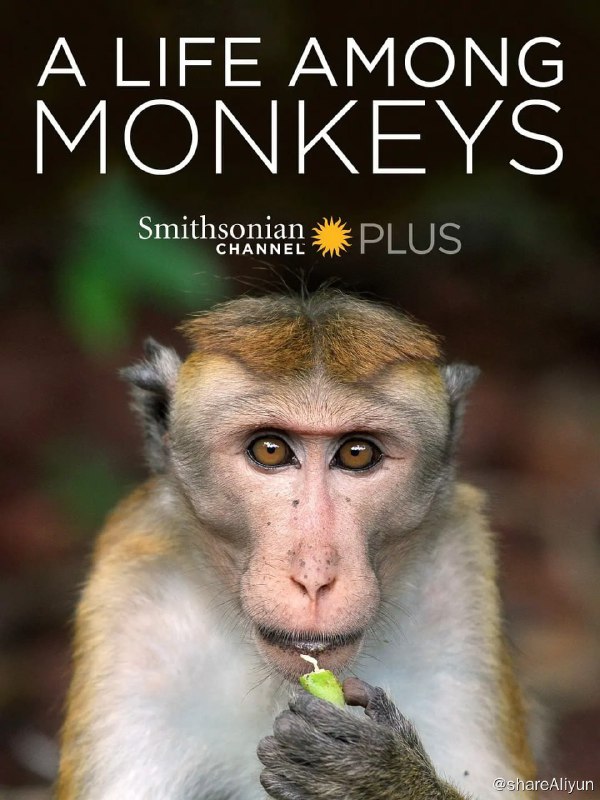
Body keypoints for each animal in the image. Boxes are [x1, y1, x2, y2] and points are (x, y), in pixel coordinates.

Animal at [57, 290, 536, 800]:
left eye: (357, 453)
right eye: (270, 450)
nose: (314, 577)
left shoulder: (457, 581)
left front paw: (370, 776)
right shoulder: (136, 607)